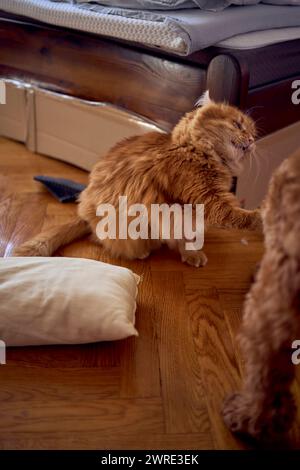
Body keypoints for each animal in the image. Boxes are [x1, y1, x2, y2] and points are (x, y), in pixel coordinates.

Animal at [14, 93, 262, 266]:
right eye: (237, 124)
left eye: (252, 132)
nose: (251, 141)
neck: (195, 150)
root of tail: (84, 210)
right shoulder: (206, 199)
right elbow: (237, 216)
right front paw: (262, 216)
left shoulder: (190, 216)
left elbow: (187, 237)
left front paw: (191, 254)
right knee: (100, 238)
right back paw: (142, 251)